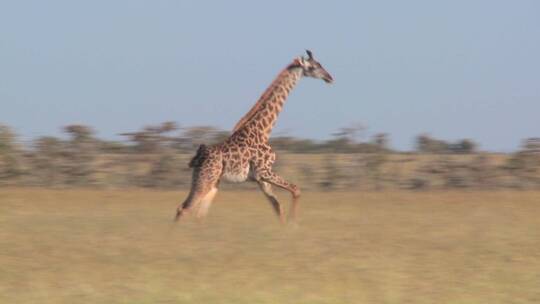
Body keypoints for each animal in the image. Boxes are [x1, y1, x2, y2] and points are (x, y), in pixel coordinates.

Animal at [175, 50, 332, 223]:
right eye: (314, 67)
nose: (329, 77)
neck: (263, 131)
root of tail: (199, 155)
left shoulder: (261, 178)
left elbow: (277, 206)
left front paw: (286, 226)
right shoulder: (264, 171)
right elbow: (296, 189)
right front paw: (293, 223)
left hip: (212, 181)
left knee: (199, 213)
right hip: (206, 178)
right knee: (184, 208)